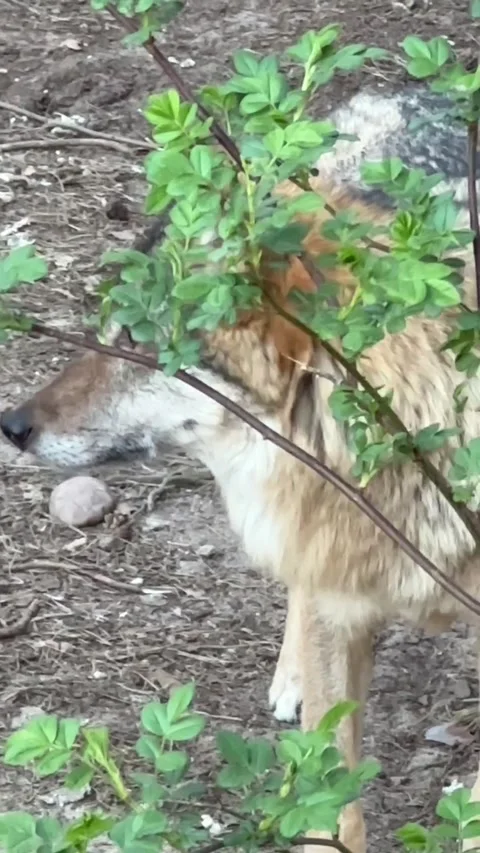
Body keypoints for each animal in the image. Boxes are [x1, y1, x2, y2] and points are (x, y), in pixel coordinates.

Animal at [2, 86, 480, 852]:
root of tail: (406, 93)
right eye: (109, 330)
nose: (12, 425)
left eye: (142, 344)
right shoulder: (331, 583)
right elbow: (328, 787)